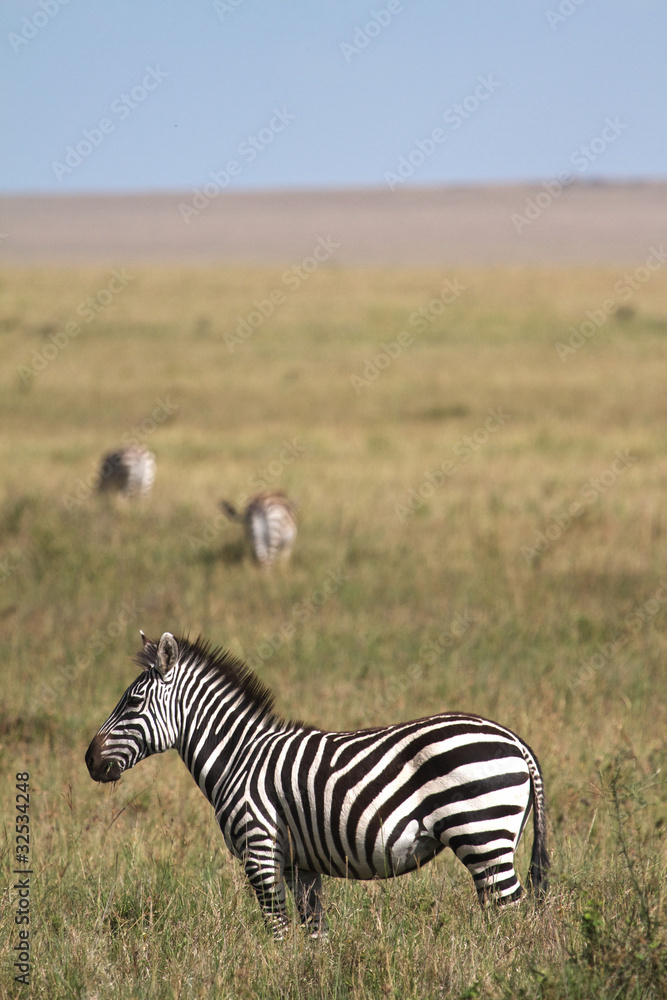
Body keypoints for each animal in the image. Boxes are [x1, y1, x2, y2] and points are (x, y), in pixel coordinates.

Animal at [86, 632, 549, 938]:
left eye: (133, 702)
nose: (89, 760)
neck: (238, 757)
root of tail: (514, 740)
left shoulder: (259, 851)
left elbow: (277, 932)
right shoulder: (301, 865)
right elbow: (315, 935)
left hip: (483, 833)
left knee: (513, 916)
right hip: (491, 840)